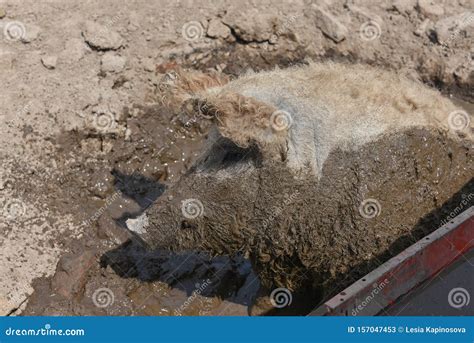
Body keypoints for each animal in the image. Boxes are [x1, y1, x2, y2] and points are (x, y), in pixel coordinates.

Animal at [133, 63, 474, 316]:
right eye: (207, 148)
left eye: (233, 154)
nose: (135, 225)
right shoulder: (275, 257)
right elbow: (270, 293)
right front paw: (259, 311)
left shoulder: (360, 255)